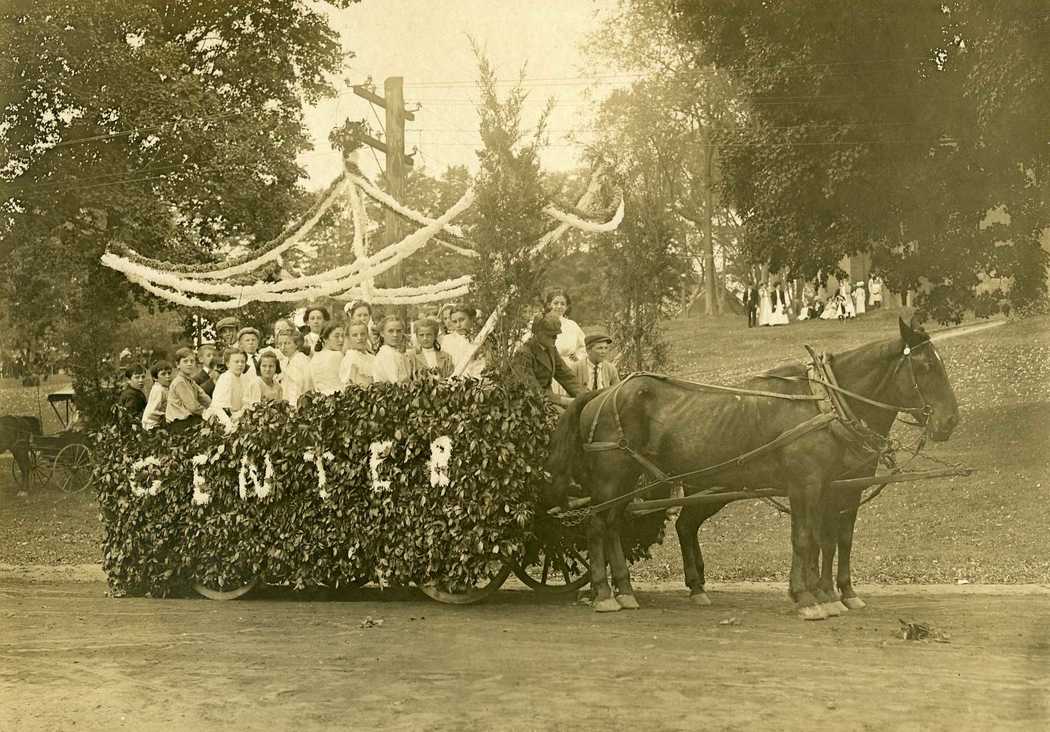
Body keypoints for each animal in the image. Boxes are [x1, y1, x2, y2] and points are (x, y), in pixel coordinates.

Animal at [550, 317, 961, 617]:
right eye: (926, 366)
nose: (950, 421)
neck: (826, 404)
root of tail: (601, 393)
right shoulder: (807, 484)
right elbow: (806, 539)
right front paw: (809, 597)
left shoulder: (838, 487)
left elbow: (832, 540)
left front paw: (832, 593)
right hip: (611, 477)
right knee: (598, 525)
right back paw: (605, 593)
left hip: (647, 481)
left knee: (627, 525)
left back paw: (632, 589)